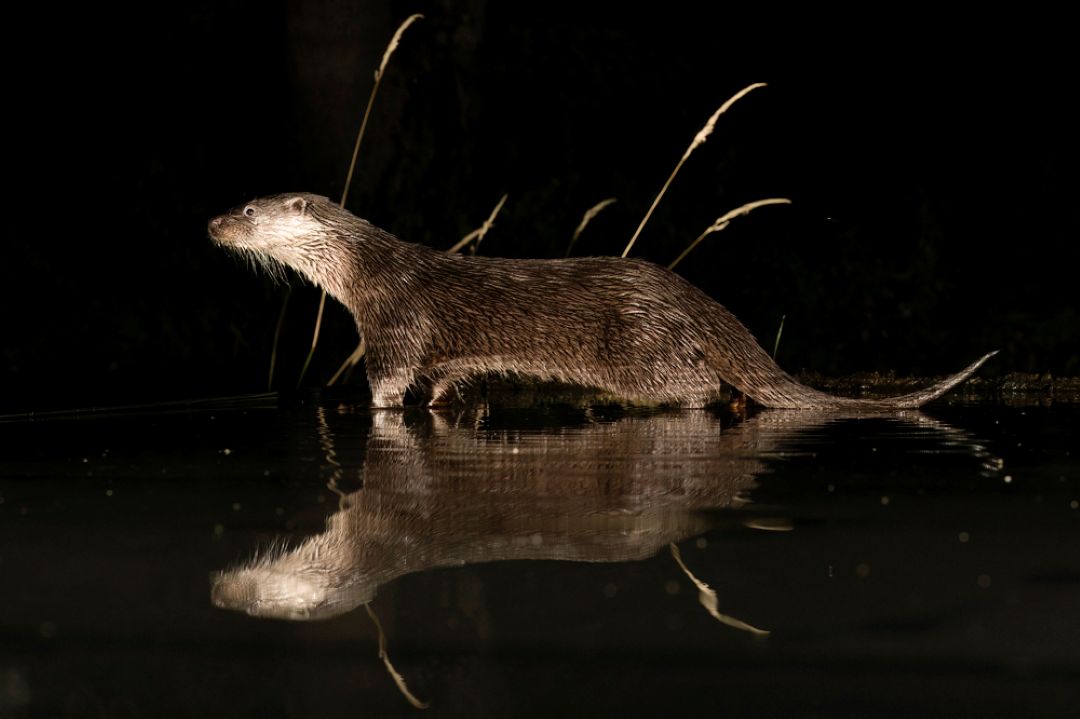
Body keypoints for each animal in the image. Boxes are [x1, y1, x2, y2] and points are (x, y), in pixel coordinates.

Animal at [208, 193, 995, 408]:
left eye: (248, 209)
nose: (212, 222)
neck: (366, 274)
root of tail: (691, 295)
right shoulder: (441, 355)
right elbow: (443, 383)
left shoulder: (395, 325)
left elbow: (388, 386)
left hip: (642, 350)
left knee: (701, 386)